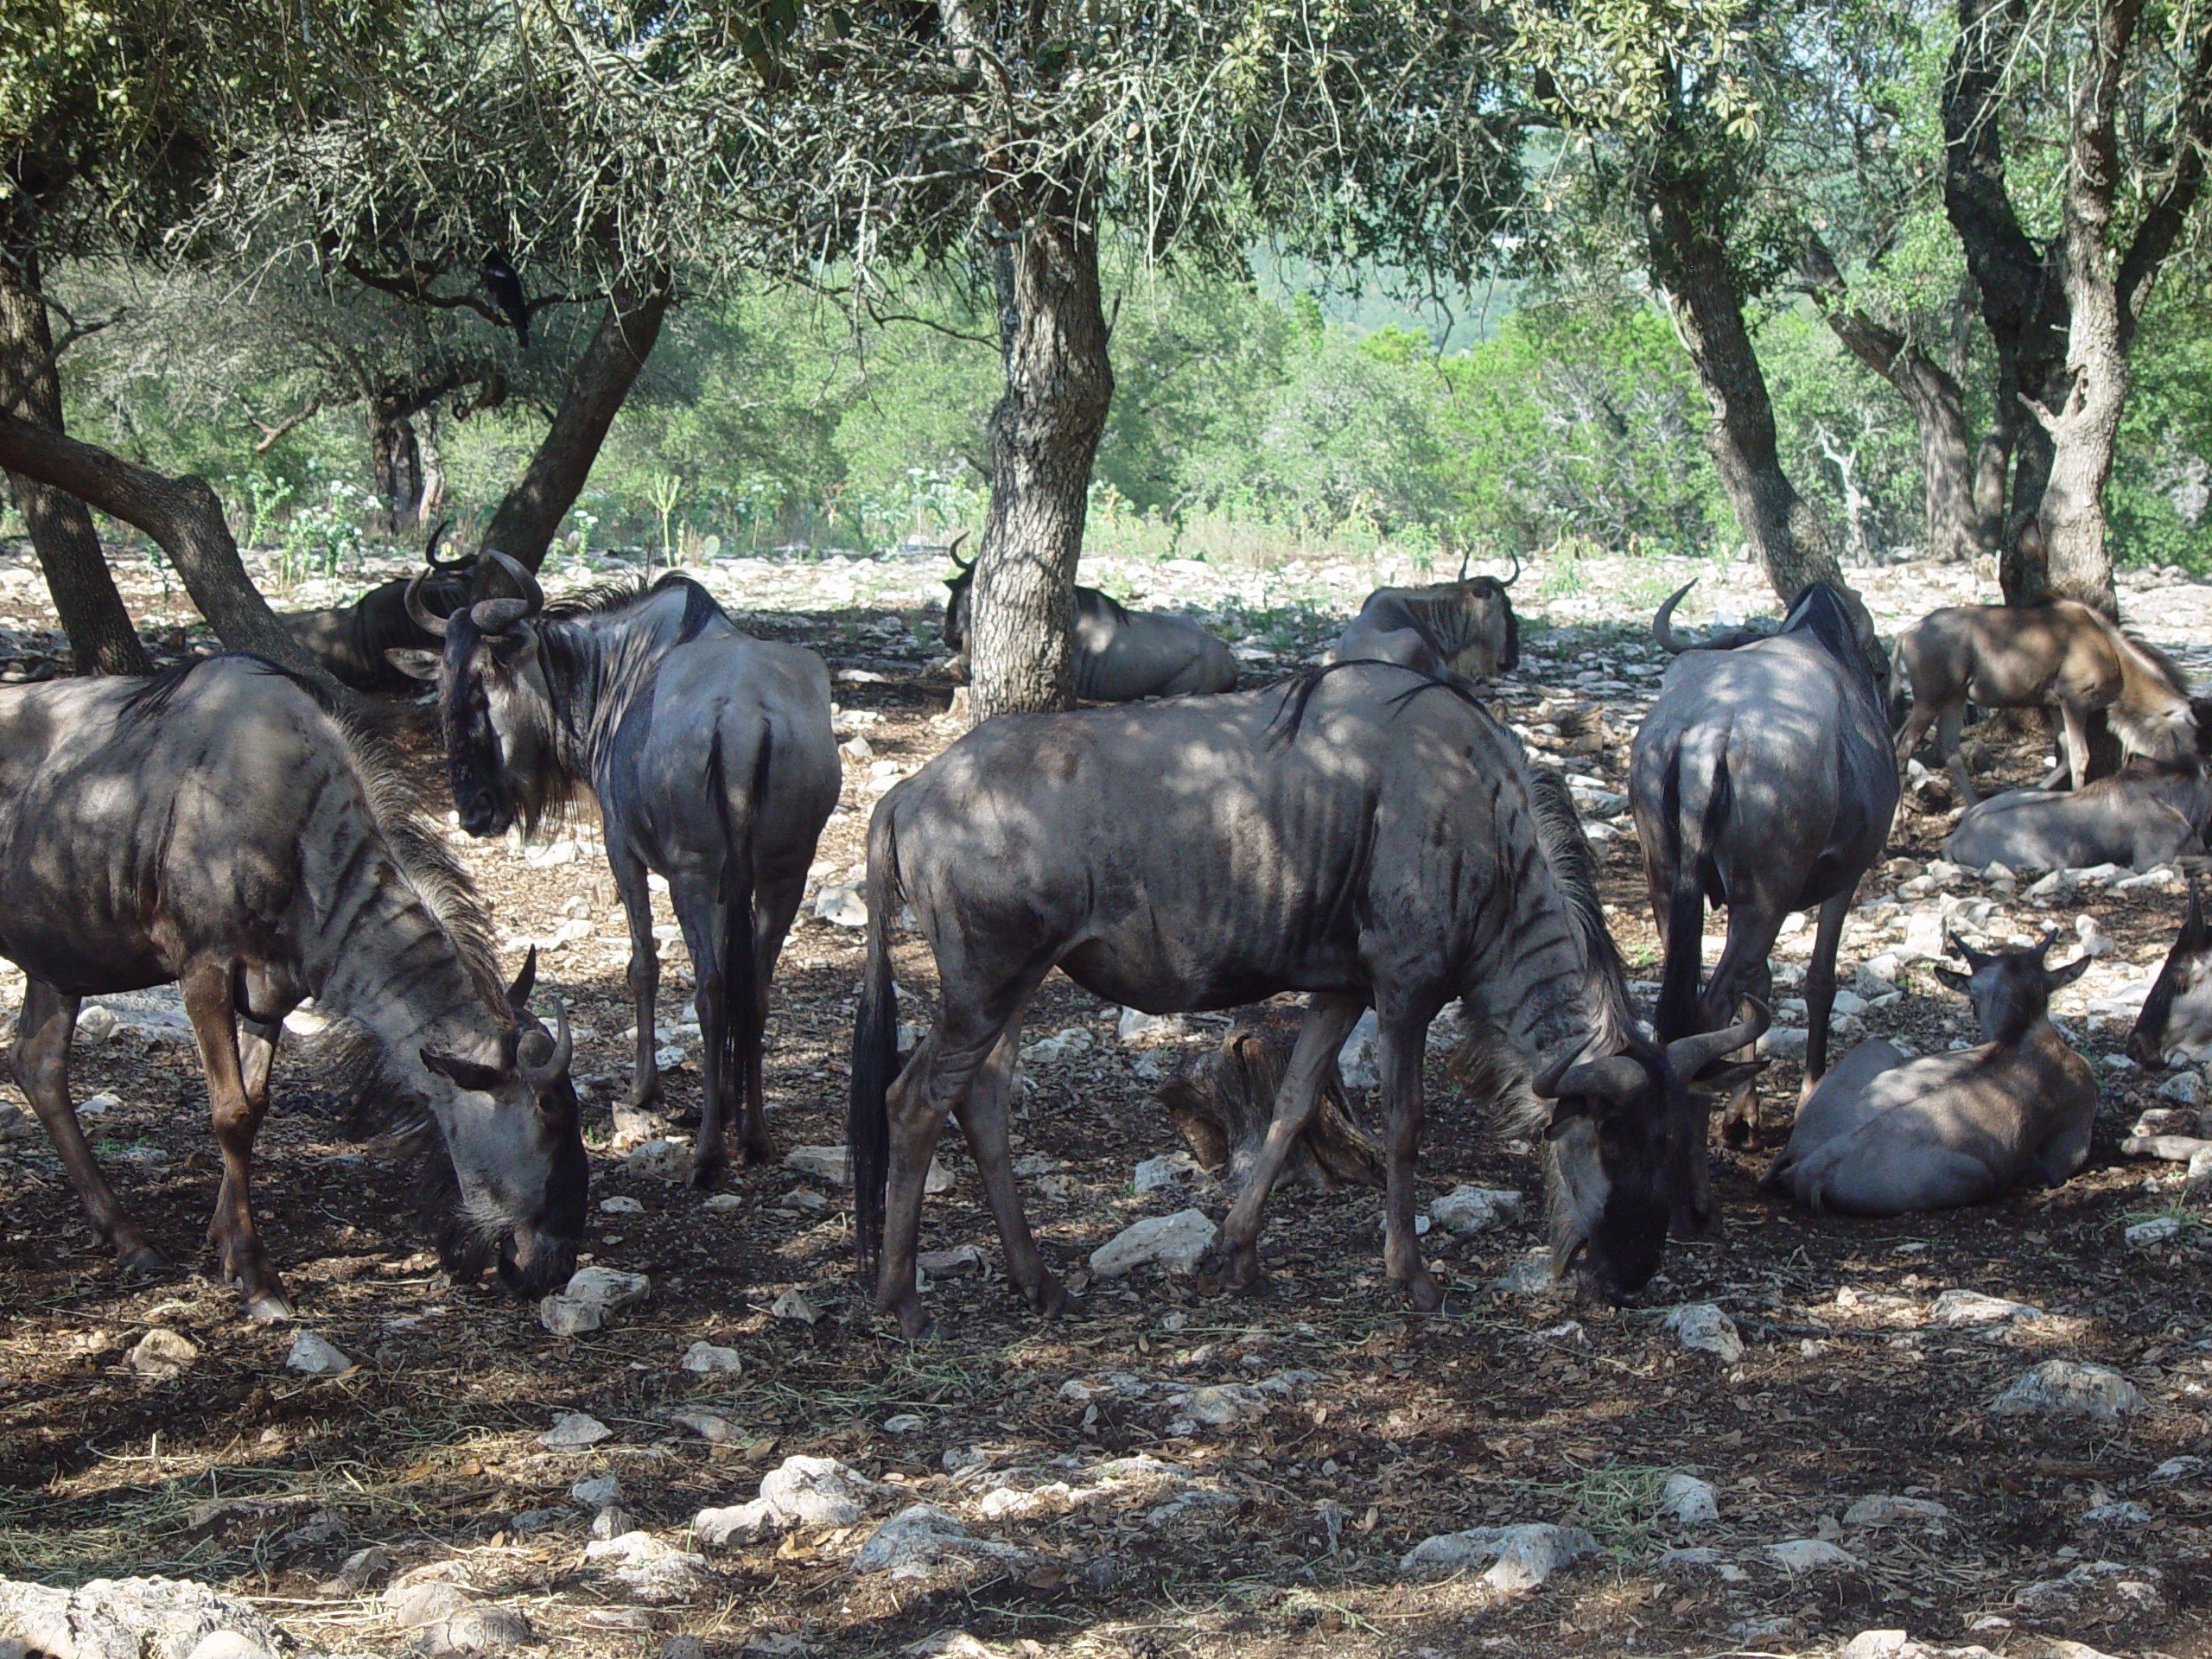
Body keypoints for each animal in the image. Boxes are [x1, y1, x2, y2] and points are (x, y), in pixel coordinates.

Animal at [1751, 938, 2096, 1221]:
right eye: (1972, 1003)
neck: (2025, 1035)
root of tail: (1811, 1162)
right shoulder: (2064, 1157)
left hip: (1874, 1047)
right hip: (1980, 1177)